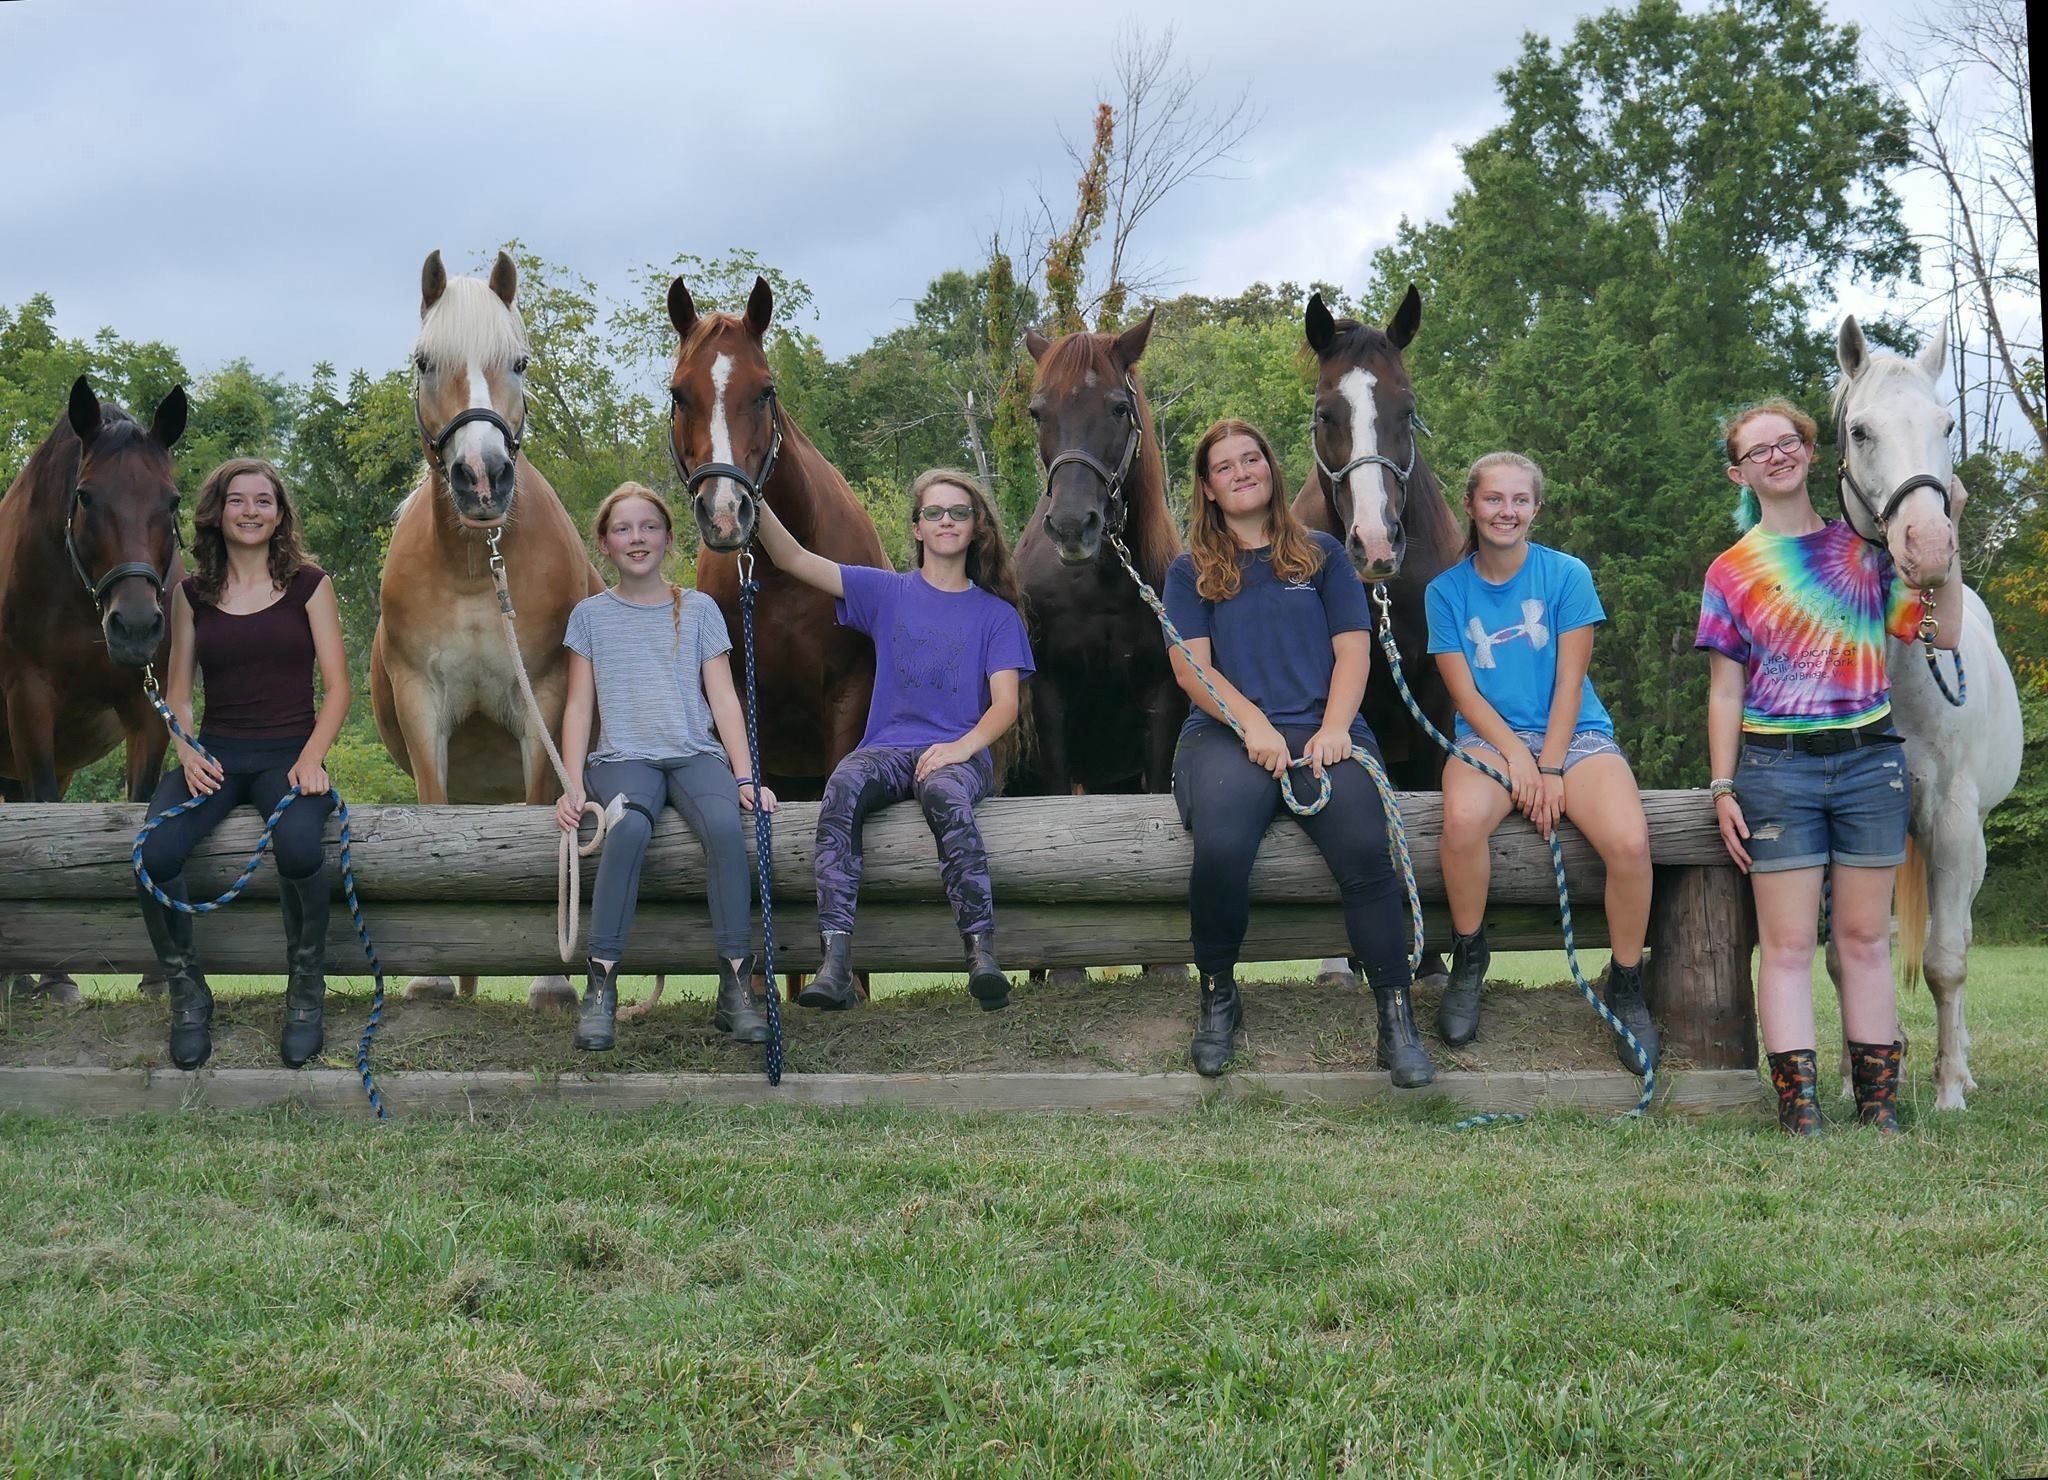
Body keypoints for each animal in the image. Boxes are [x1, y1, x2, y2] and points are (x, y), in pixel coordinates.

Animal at [1, 378, 188, 1007]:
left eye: (172, 501)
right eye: (85, 497)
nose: (135, 627)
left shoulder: (149, 708)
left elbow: (140, 808)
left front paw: (157, 973)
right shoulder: (29, 702)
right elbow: (41, 825)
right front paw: (57, 976)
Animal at [370, 254, 598, 1011]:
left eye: (519, 362)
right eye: (424, 361)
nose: (481, 476)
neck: (475, 567)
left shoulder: (544, 700)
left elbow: (542, 819)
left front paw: (550, 979)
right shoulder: (421, 701)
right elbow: (435, 823)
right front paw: (432, 974)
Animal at [1007, 313, 1187, 798]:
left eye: (1119, 408)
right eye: (1037, 413)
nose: (1072, 526)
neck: (1100, 582)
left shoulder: (1162, 703)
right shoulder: (1049, 703)